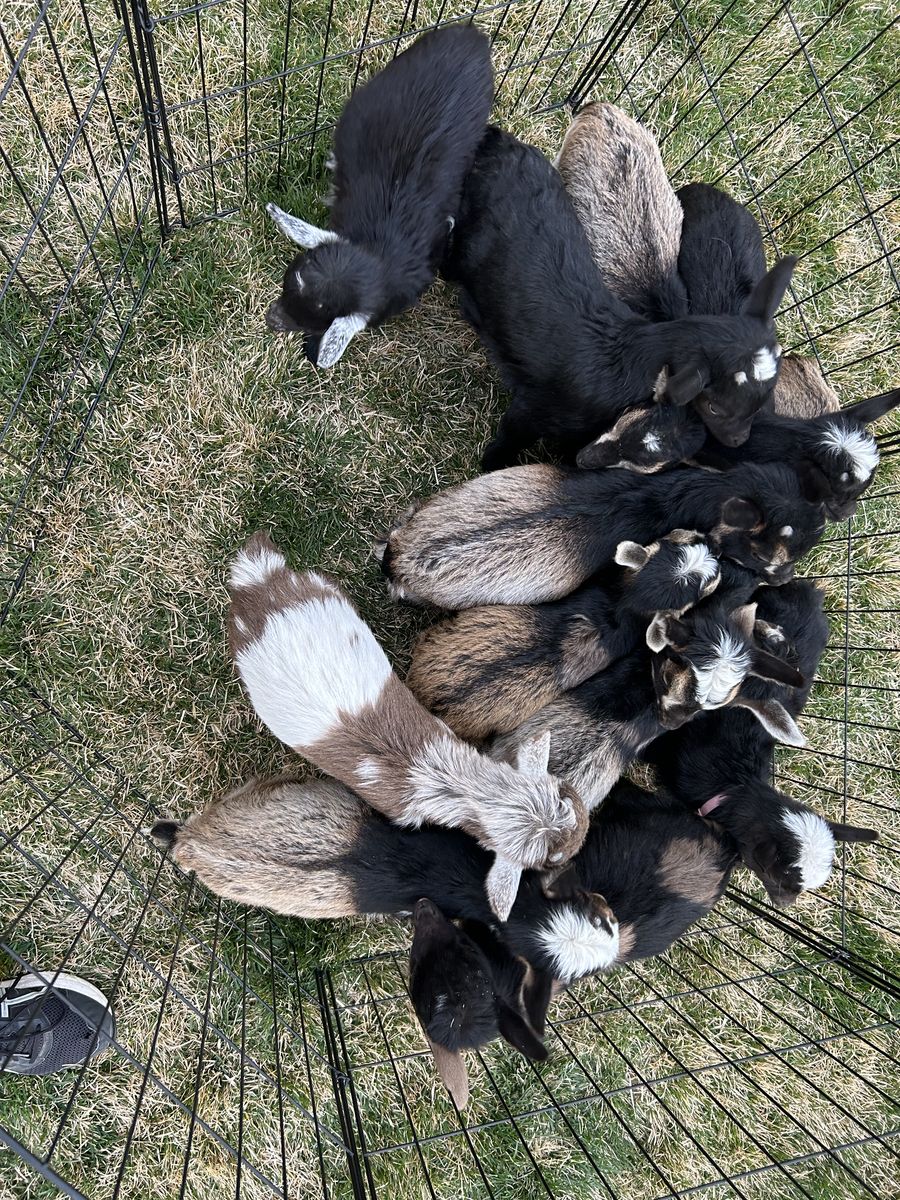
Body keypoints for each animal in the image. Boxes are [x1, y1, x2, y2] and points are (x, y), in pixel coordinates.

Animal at [227, 532, 587, 919]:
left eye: (565, 794)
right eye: (553, 858)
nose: (583, 828)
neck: (444, 778)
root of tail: (259, 580)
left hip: (322, 590)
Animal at [442, 126, 795, 467]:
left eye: (764, 399)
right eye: (715, 407)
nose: (739, 441)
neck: (629, 359)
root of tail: (500, 142)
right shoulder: (537, 408)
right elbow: (509, 437)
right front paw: (489, 465)